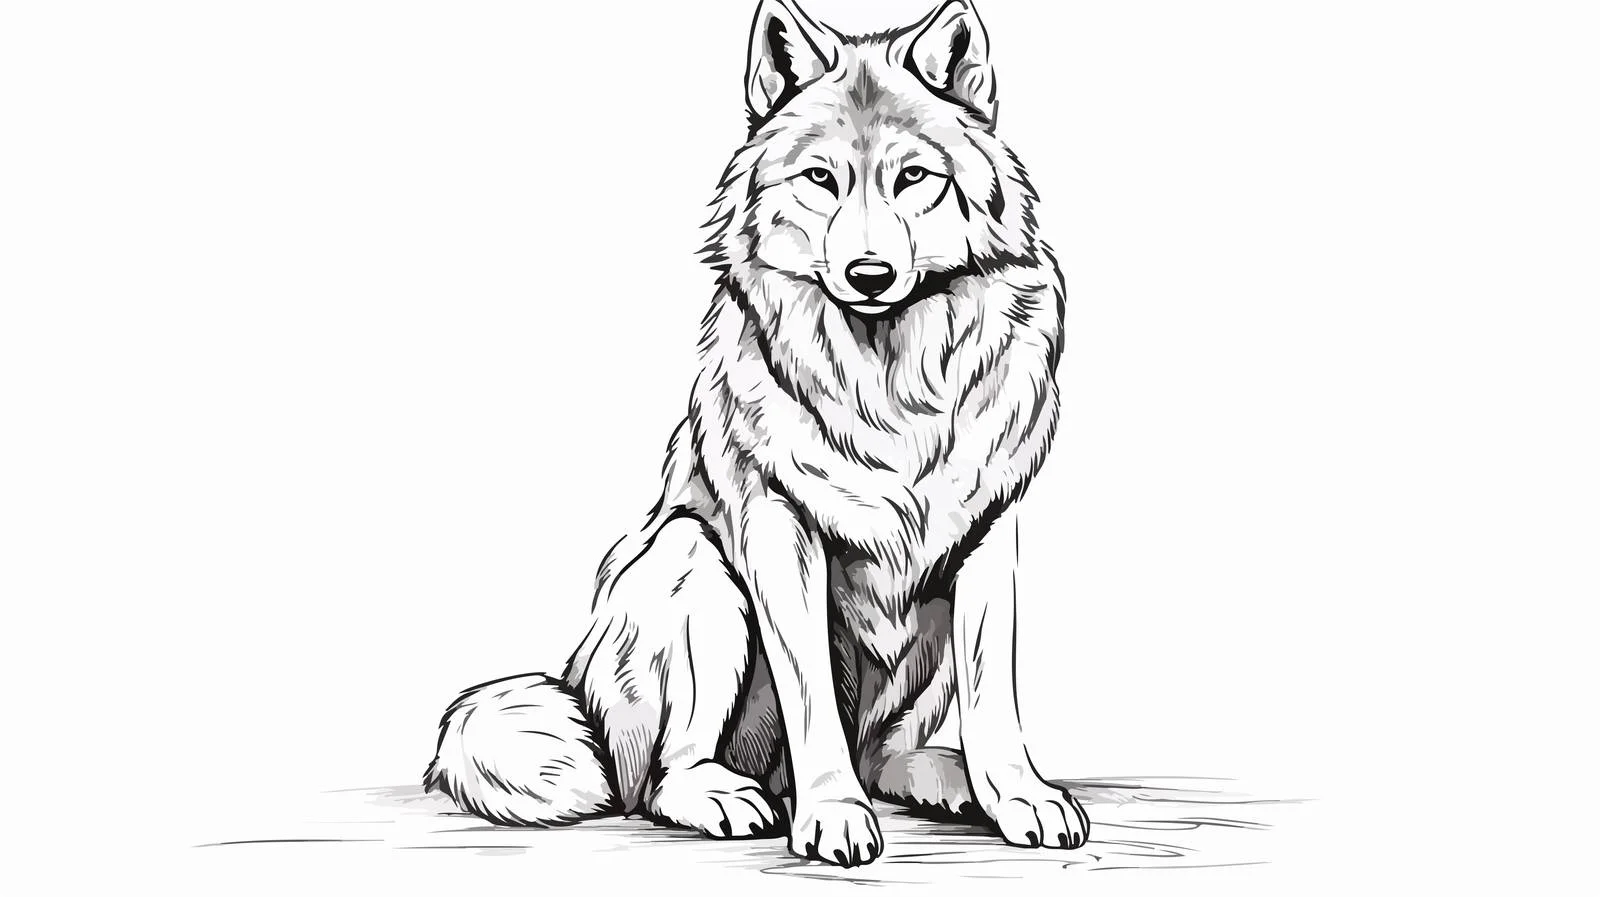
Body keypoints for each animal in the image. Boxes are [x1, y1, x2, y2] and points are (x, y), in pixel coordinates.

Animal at [425, 0, 1086, 867]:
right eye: (821, 179)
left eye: (913, 177)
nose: (869, 274)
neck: (892, 386)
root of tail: (579, 687)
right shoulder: (778, 528)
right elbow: (813, 701)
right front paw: (833, 814)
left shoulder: (987, 534)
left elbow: (993, 699)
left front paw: (1019, 796)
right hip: (694, 565)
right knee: (656, 780)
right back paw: (729, 796)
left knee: (887, 754)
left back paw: (944, 778)